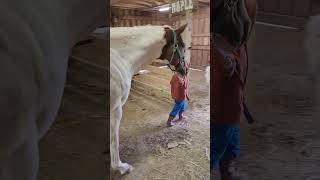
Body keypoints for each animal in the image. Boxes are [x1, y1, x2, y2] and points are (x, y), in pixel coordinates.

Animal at [110, 24, 188, 174]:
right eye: (182, 46)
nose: (184, 70)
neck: (118, 57)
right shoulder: (115, 109)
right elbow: (114, 139)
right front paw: (121, 167)